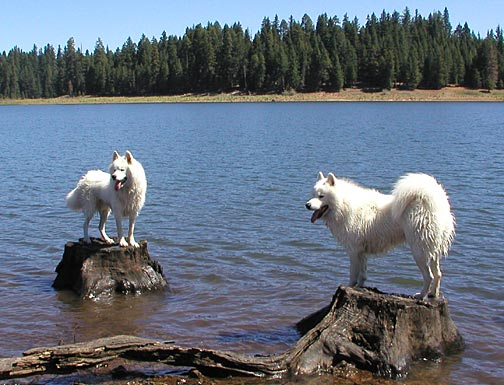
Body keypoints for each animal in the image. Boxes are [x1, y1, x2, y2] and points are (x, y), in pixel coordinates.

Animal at [306, 172, 454, 298]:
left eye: (321, 196)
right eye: (313, 194)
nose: (307, 205)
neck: (343, 205)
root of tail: (436, 204)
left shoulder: (353, 251)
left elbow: (353, 274)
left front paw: (349, 287)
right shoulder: (362, 252)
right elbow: (362, 275)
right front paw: (360, 288)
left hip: (419, 251)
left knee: (429, 276)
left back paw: (421, 295)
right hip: (433, 250)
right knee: (438, 274)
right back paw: (433, 294)